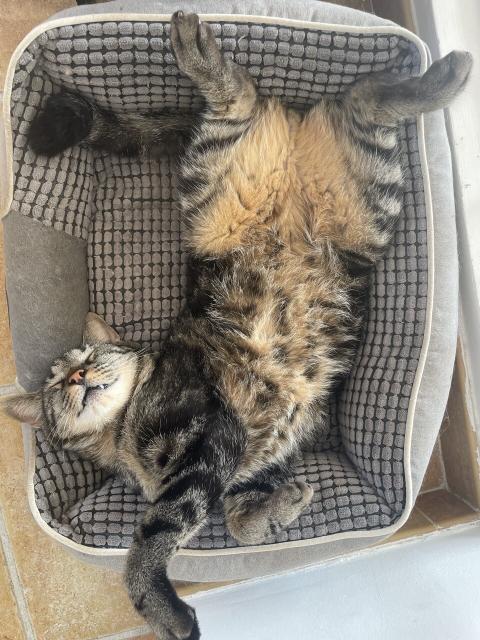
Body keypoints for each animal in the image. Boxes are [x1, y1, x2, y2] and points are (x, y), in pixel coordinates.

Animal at [1, 11, 470, 640]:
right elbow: (236, 514)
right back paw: (443, 75)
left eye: (85, 361)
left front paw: (161, 607)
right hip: (365, 193)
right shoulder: (234, 464)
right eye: (56, 384)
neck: (123, 438)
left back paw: (199, 47)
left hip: (223, 180)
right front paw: (280, 509)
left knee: (250, 93)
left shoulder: (203, 439)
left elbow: (151, 541)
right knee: (365, 100)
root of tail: (294, 128)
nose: (75, 379)